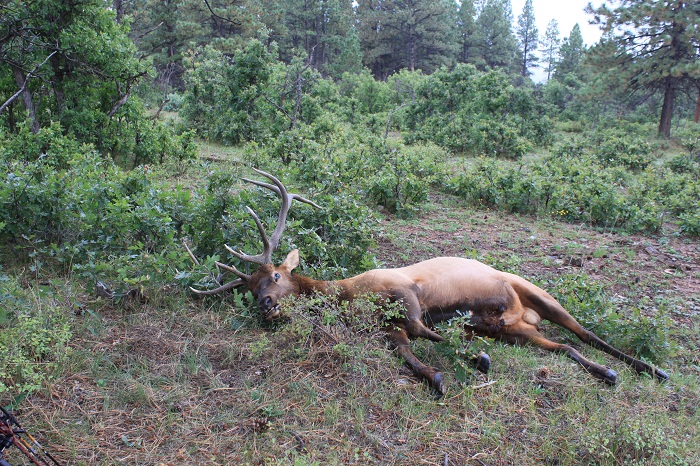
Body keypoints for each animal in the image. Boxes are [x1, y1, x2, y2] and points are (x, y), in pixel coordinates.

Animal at [189, 169, 669, 396]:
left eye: (274, 274)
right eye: (249, 288)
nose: (265, 305)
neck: (345, 296)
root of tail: (522, 315)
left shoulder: (404, 290)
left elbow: (425, 328)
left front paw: (474, 360)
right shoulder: (386, 327)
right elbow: (406, 350)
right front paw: (436, 376)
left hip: (532, 291)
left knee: (584, 331)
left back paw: (649, 368)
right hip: (513, 328)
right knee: (564, 346)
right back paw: (607, 373)